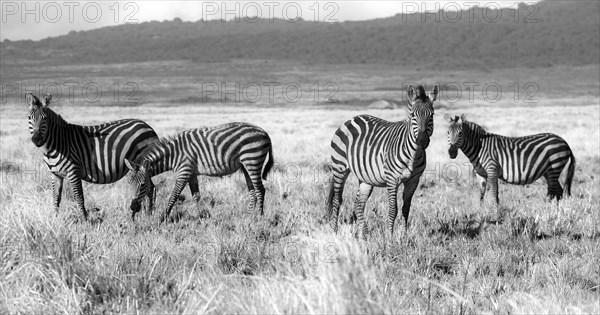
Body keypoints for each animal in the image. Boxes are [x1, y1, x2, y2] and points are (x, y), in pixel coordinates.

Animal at [26, 92, 159, 221]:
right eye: (29, 118)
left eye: (45, 119)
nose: (37, 140)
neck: (56, 145)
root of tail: (147, 126)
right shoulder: (55, 174)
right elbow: (56, 198)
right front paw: (55, 219)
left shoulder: (74, 172)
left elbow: (79, 197)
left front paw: (85, 221)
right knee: (150, 186)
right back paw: (145, 214)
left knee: (150, 187)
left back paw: (149, 215)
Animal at [125, 121, 276, 222]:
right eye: (129, 185)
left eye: (143, 185)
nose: (132, 208)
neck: (173, 155)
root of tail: (264, 132)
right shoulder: (191, 173)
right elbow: (196, 196)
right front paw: (201, 218)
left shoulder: (184, 172)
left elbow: (174, 195)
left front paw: (164, 217)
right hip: (245, 165)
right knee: (252, 191)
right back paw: (248, 216)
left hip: (253, 161)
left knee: (260, 189)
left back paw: (259, 217)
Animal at [326, 85, 438, 238]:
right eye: (413, 115)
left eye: (431, 115)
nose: (422, 141)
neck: (413, 155)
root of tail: (353, 118)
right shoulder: (392, 179)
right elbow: (393, 210)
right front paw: (390, 238)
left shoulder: (414, 180)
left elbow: (406, 208)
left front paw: (404, 236)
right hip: (339, 167)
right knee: (337, 200)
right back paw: (335, 232)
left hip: (366, 177)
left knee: (358, 204)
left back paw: (364, 235)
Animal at [446, 114, 576, 210]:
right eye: (448, 133)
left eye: (460, 133)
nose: (451, 152)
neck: (479, 147)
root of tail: (564, 141)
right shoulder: (480, 174)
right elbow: (481, 194)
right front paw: (481, 210)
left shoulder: (492, 170)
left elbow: (494, 194)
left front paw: (496, 212)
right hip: (548, 172)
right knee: (559, 191)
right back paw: (556, 211)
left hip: (554, 166)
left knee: (552, 193)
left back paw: (546, 211)